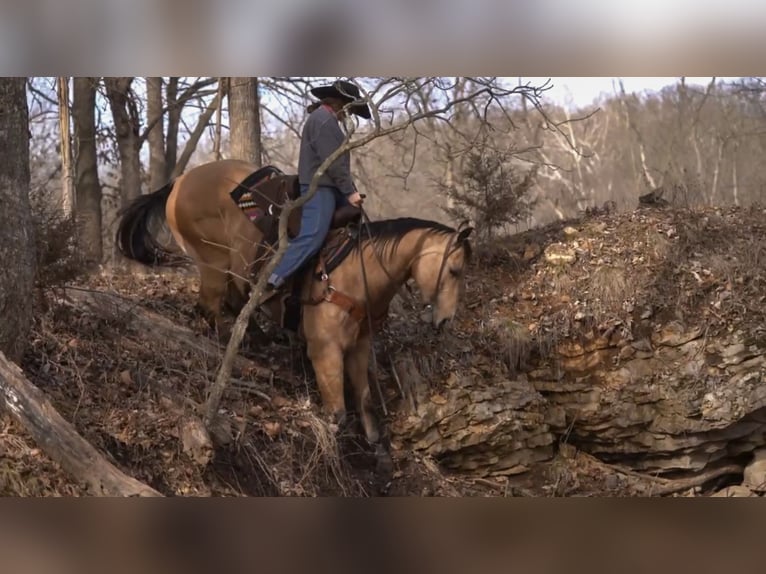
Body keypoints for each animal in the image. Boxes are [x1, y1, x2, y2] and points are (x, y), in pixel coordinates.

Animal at [115, 160, 474, 470]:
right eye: (454, 270)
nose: (445, 320)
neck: (358, 271)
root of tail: (181, 180)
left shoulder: (359, 347)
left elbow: (365, 401)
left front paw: (379, 452)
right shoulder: (325, 350)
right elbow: (337, 411)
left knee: (233, 301)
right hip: (212, 261)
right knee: (210, 308)